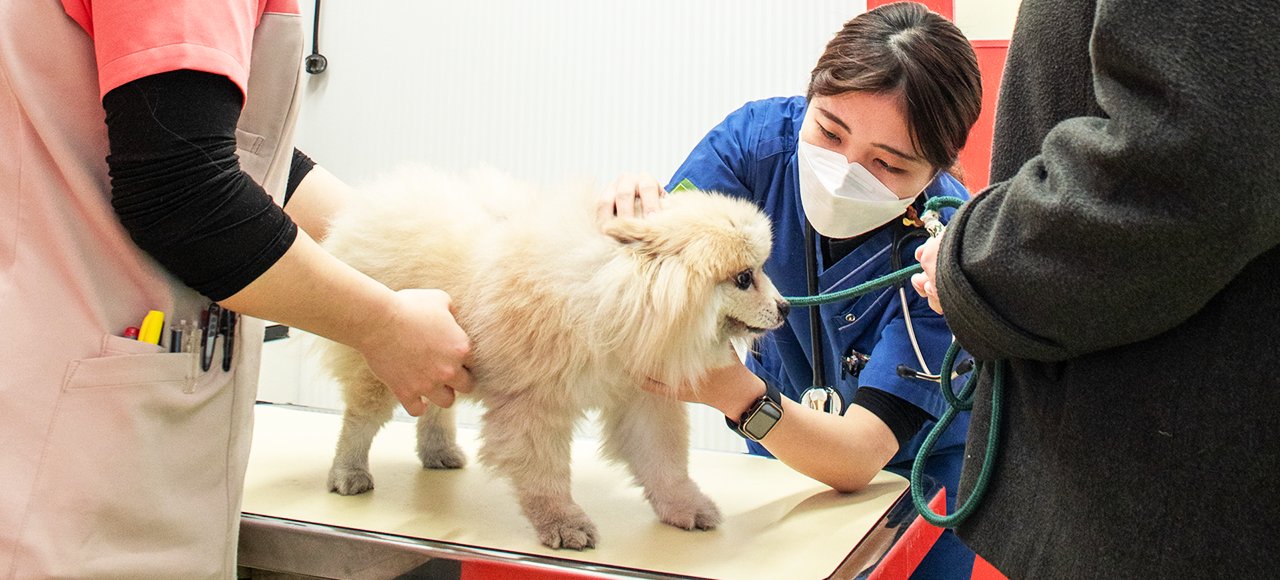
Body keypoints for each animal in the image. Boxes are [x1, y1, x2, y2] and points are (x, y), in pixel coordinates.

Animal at [317, 162, 788, 547]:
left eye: (764, 269)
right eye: (744, 278)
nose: (785, 307)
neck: (608, 296)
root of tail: (364, 214)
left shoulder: (642, 399)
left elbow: (665, 463)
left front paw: (683, 506)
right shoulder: (534, 405)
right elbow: (546, 478)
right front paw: (563, 523)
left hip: (436, 362)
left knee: (436, 407)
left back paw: (438, 452)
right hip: (389, 363)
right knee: (360, 421)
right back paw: (349, 472)